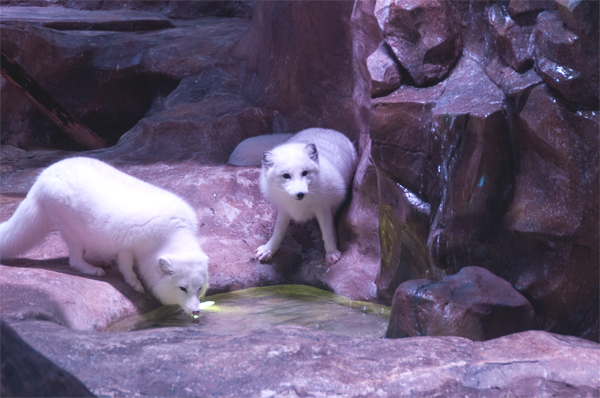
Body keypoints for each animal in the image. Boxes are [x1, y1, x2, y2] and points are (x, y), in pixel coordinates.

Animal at [0, 157, 209, 316]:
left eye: (199, 288)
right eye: (182, 288)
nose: (196, 311)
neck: (171, 234)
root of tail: (42, 178)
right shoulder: (129, 246)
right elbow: (127, 267)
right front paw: (135, 283)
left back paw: (99, 262)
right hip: (73, 231)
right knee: (75, 260)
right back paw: (92, 269)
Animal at [226, 128, 356, 264]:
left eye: (305, 173)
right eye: (286, 176)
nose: (300, 193)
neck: (298, 205)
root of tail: (325, 129)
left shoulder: (323, 209)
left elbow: (327, 233)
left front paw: (332, 252)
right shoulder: (284, 210)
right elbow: (277, 232)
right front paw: (268, 249)